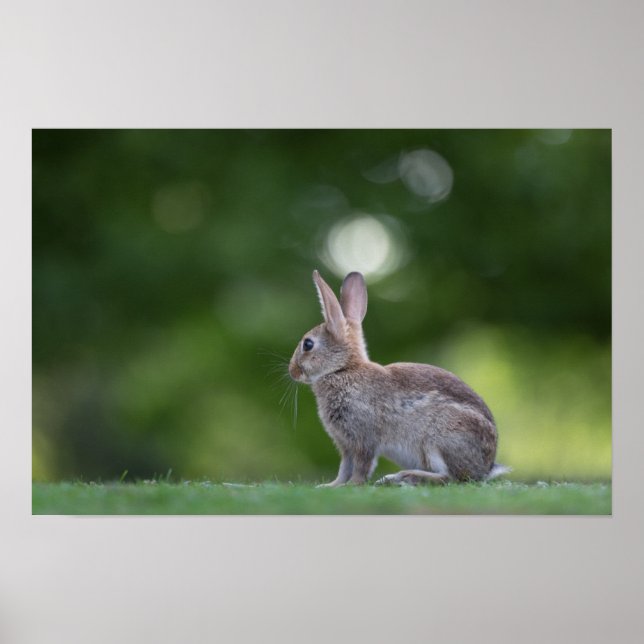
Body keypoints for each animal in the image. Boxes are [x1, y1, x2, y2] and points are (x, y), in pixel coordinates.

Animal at [288, 270, 511, 486]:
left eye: (307, 344)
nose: (292, 371)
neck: (343, 369)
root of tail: (486, 466)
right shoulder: (345, 444)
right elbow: (345, 467)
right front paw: (332, 485)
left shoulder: (363, 437)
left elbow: (362, 465)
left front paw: (352, 485)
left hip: (441, 437)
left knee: (451, 478)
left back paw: (401, 478)